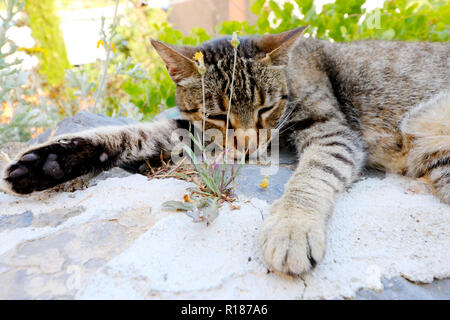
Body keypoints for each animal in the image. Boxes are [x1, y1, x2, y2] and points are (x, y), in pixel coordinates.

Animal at [1, 27, 448, 276]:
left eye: (266, 108)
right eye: (218, 115)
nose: (248, 147)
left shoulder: (331, 131)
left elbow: (311, 176)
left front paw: (291, 227)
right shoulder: (193, 133)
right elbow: (135, 133)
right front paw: (48, 162)